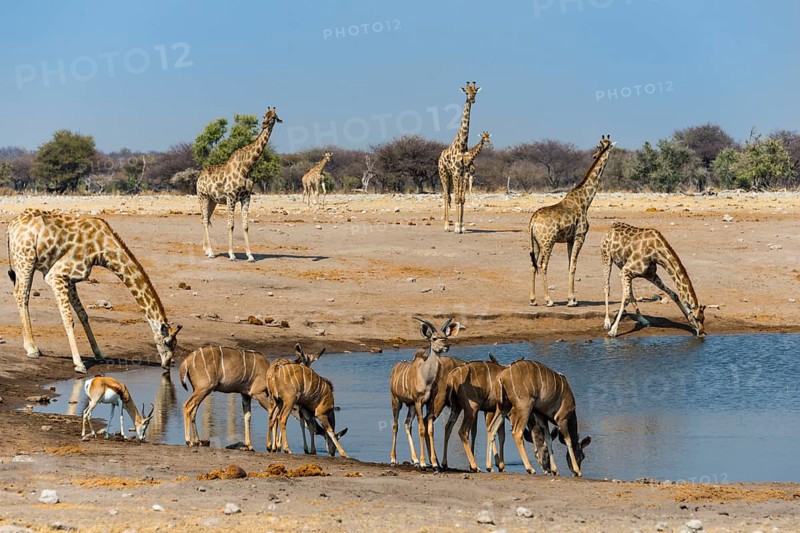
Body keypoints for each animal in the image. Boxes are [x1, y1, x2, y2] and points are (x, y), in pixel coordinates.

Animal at [6, 208, 182, 374]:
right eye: (167, 343)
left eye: (175, 345)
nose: (168, 364)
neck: (104, 250)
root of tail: (11, 226)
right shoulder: (56, 275)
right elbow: (68, 319)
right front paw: (79, 364)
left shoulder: (70, 279)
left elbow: (83, 315)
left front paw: (99, 354)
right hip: (26, 260)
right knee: (22, 295)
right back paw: (32, 348)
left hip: (23, 263)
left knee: (18, 293)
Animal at [196, 106, 282, 262]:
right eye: (264, 115)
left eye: (273, 117)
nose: (264, 124)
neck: (247, 166)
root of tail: (199, 177)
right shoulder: (231, 197)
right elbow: (231, 225)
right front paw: (232, 254)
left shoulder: (246, 197)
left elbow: (245, 225)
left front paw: (250, 255)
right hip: (202, 196)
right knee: (205, 220)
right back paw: (211, 252)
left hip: (212, 200)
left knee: (205, 218)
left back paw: (206, 250)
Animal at [438, 81, 480, 233]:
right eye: (466, 93)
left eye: (475, 92)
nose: (472, 100)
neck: (462, 145)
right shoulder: (456, 172)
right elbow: (456, 198)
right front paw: (456, 227)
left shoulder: (465, 173)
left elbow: (462, 199)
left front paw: (461, 226)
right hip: (444, 173)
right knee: (445, 196)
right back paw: (446, 226)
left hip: (451, 176)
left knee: (450, 196)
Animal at [528, 134, 615, 307]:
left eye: (598, 146)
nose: (594, 155)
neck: (585, 201)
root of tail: (533, 221)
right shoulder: (580, 236)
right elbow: (574, 265)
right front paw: (572, 300)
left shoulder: (569, 239)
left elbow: (569, 265)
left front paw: (572, 298)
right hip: (548, 242)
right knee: (542, 265)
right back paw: (548, 300)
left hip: (535, 242)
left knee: (533, 265)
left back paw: (533, 300)